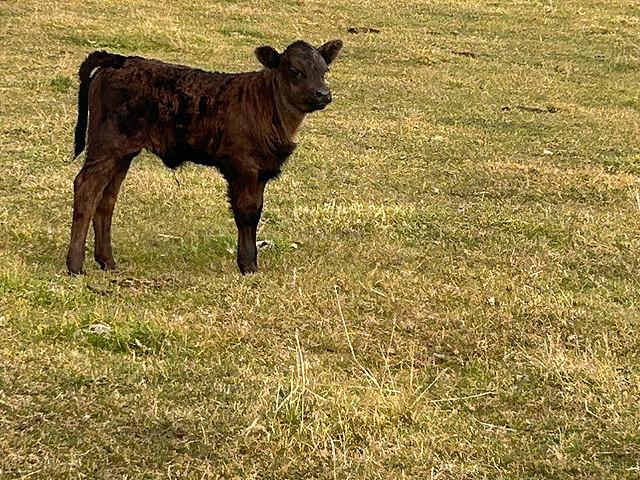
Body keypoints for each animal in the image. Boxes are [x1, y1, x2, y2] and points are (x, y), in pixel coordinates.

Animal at [66, 39, 343, 275]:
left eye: (324, 70)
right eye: (295, 70)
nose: (323, 94)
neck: (267, 105)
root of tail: (120, 60)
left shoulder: (261, 170)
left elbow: (257, 211)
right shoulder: (243, 166)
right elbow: (246, 213)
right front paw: (248, 265)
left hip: (123, 153)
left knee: (107, 198)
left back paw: (107, 261)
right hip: (106, 146)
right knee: (86, 188)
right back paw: (75, 266)